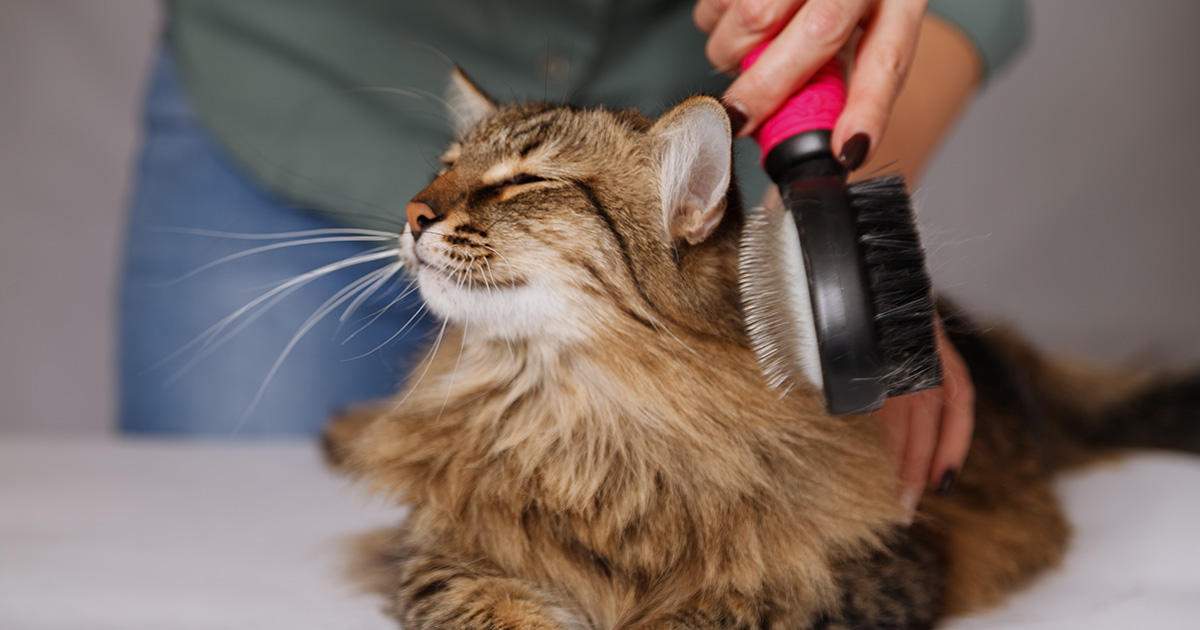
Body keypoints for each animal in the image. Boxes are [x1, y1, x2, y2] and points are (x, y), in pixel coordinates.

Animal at [321, 69, 1200, 628]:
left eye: (524, 181)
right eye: (444, 169)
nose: (413, 213)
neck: (578, 421)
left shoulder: (865, 575)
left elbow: (707, 613)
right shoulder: (444, 556)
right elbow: (484, 608)